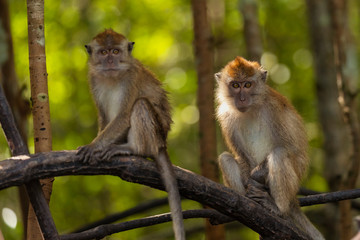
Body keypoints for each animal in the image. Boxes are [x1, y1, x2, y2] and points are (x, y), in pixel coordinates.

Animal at [76, 28, 186, 240]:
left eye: (115, 52)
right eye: (104, 52)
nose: (110, 61)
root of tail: (163, 143)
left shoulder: (132, 78)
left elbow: (125, 114)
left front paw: (93, 146)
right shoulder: (93, 79)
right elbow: (104, 117)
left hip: (155, 133)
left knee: (140, 104)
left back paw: (132, 148)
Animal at [214, 56, 324, 240]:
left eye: (248, 85)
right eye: (235, 85)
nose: (242, 99)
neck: (251, 109)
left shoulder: (274, 108)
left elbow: (293, 148)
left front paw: (255, 176)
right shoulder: (225, 115)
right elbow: (240, 156)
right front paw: (248, 181)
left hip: (293, 182)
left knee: (279, 154)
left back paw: (279, 209)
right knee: (225, 158)